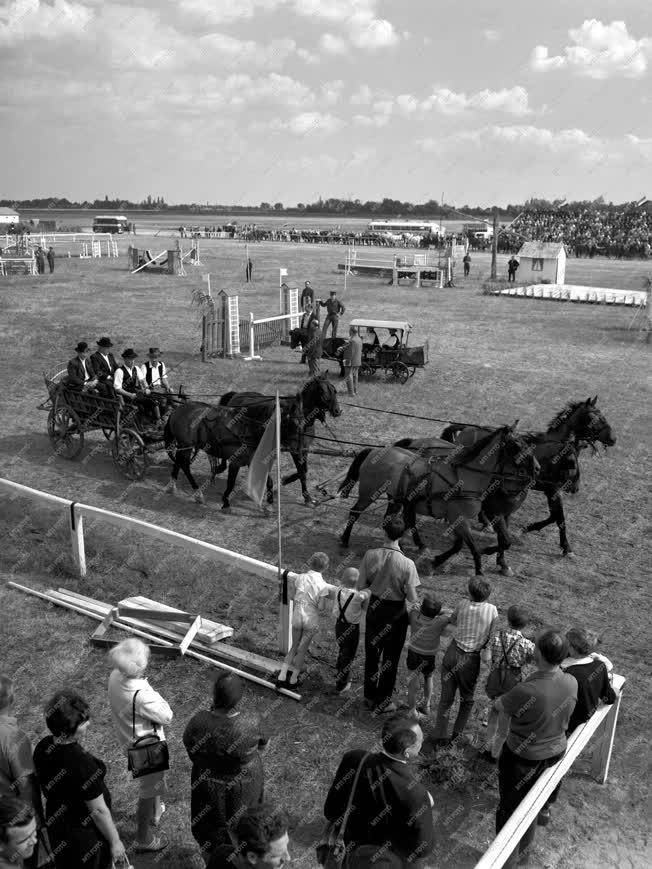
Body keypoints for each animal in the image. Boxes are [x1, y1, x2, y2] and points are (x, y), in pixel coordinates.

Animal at [164, 374, 342, 508]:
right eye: (324, 391)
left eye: (335, 390)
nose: (338, 411)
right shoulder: (294, 450)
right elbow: (302, 472)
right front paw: (291, 487)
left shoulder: (302, 449)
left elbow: (303, 471)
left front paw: (303, 494)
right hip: (187, 445)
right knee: (184, 462)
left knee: (179, 461)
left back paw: (175, 484)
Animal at [336, 424, 540, 572]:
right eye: (517, 446)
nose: (537, 469)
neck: (466, 476)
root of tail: (375, 451)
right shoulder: (460, 517)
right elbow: (471, 546)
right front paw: (479, 569)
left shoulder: (464, 518)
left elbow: (463, 544)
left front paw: (437, 560)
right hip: (369, 493)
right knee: (355, 512)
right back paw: (345, 540)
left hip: (395, 498)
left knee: (391, 520)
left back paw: (405, 544)